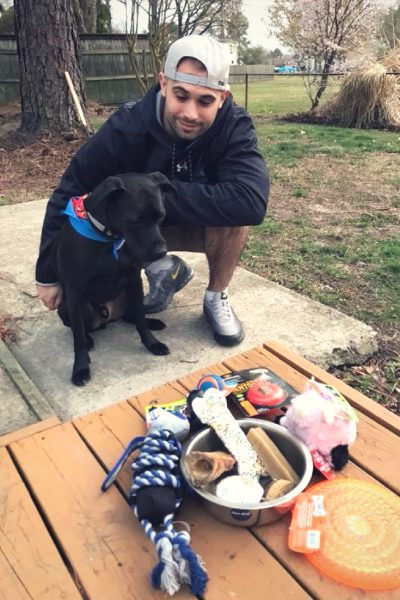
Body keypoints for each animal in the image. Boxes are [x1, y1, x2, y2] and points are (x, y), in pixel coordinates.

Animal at [50, 171, 173, 386]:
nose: (161, 252)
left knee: (131, 315)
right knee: (77, 327)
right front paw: (80, 368)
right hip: (70, 306)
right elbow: (77, 339)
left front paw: (152, 343)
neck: (109, 239)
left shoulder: (134, 280)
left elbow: (140, 320)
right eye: (135, 221)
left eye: (162, 216)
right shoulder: (74, 291)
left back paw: (152, 322)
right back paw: (88, 339)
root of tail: (108, 317)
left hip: (127, 295)